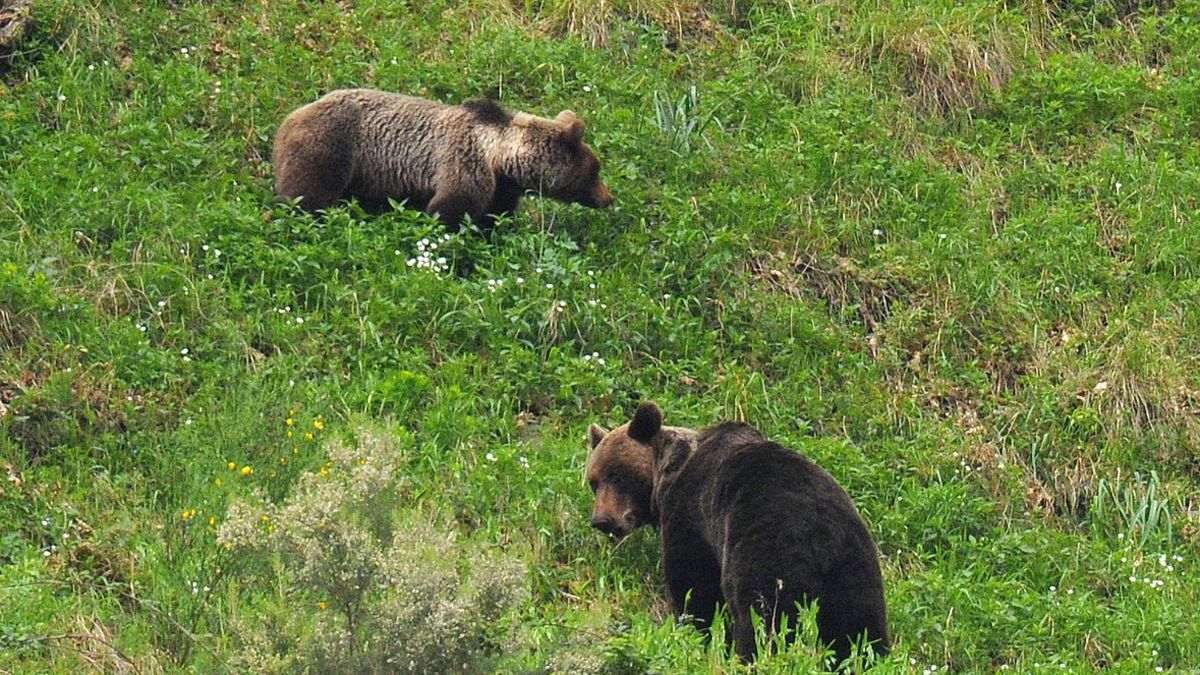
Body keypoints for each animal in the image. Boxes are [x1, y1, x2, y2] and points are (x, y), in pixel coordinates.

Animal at [271, 89, 609, 228]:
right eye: (595, 170)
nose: (609, 197)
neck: (500, 156)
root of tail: (288, 120)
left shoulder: (501, 187)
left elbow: (494, 216)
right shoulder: (464, 161)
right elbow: (450, 208)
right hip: (332, 147)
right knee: (307, 193)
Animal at [585, 398, 888, 662]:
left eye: (617, 476)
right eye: (593, 482)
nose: (602, 520)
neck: (666, 475)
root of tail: (821, 536)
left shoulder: (691, 515)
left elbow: (695, 585)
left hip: (767, 554)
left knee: (761, 618)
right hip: (855, 570)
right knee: (860, 629)